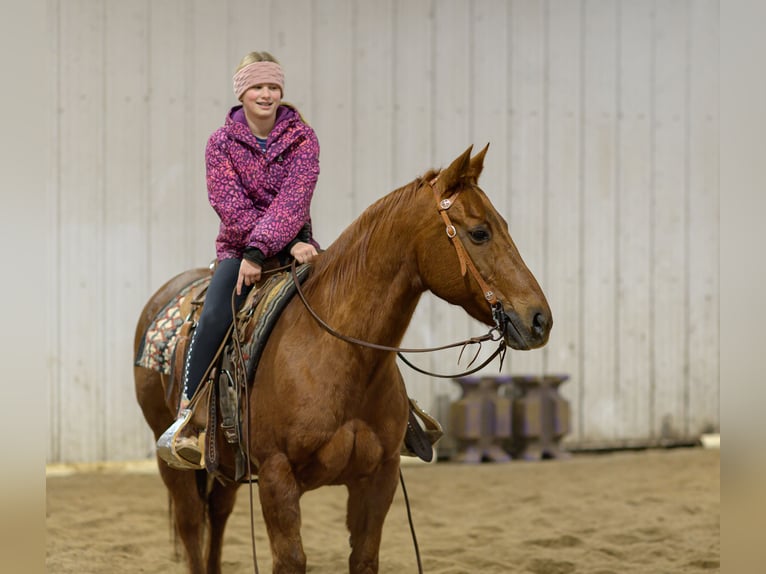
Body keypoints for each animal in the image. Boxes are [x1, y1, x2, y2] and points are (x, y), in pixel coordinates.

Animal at [133, 145, 552, 574]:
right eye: (480, 232)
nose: (539, 319)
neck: (339, 354)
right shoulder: (276, 476)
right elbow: (290, 559)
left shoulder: (379, 478)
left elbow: (364, 556)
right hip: (173, 459)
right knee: (191, 526)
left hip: (222, 464)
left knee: (216, 518)